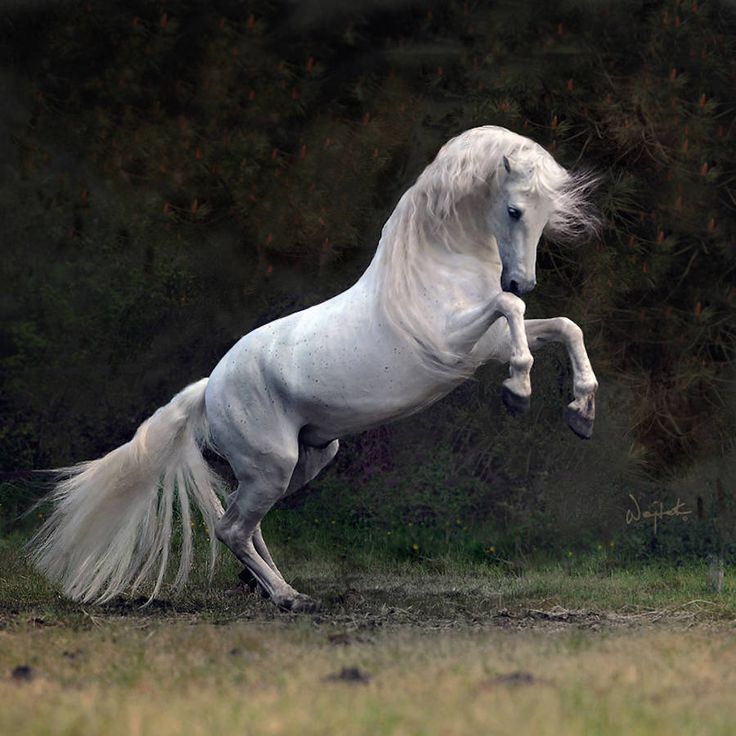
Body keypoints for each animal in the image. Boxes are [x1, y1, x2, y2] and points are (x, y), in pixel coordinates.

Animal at [31, 125, 600, 608]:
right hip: (273, 464)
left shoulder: (488, 346)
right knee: (231, 527)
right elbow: (514, 312)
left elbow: (564, 326)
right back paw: (289, 597)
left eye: (546, 213)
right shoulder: (453, 344)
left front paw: (581, 413)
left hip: (304, 460)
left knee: (242, 518)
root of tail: (210, 387)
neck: (438, 268)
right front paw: (518, 392)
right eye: (514, 210)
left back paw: (262, 586)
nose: (523, 280)